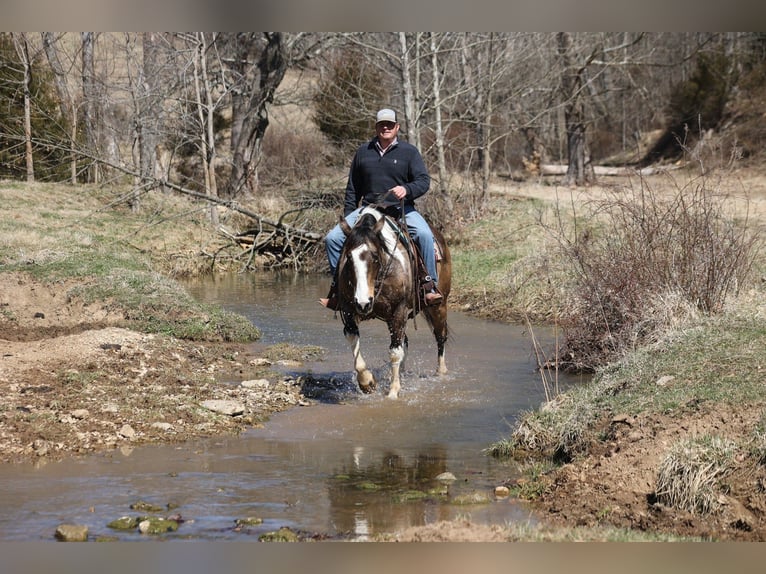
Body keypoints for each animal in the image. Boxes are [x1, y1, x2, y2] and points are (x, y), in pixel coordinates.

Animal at [334, 206, 451, 399]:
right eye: (348, 257)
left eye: (375, 256)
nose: (363, 303)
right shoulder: (348, 310)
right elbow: (354, 342)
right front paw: (367, 383)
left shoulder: (400, 310)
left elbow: (395, 352)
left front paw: (393, 392)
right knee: (405, 341)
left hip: (438, 306)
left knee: (440, 337)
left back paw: (441, 373)